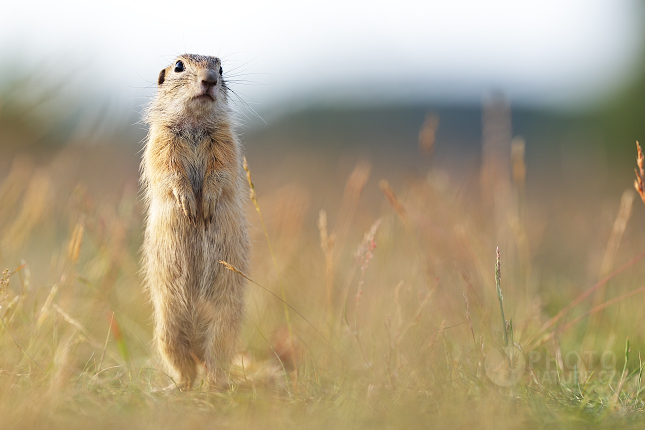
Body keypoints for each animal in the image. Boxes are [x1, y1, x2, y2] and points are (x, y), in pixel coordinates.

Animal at [141, 53, 249, 390]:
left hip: (224, 326)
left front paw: (206, 205)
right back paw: (177, 388)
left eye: (221, 68)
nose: (210, 80)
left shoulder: (225, 143)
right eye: (179, 66)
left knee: (215, 362)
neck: (196, 124)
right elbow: (169, 170)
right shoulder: (161, 142)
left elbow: (221, 172)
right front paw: (189, 205)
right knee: (185, 368)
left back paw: (216, 386)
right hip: (167, 332)